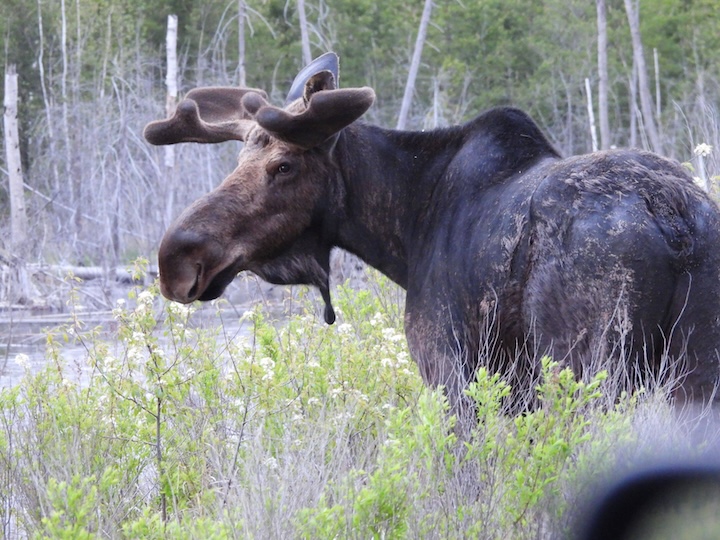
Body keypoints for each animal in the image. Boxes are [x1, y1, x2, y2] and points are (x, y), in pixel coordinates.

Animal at [144, 52, 720, 414]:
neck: (405, 233)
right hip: (695, 374)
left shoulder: (450, 372)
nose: (176, 259)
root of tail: (671, 216)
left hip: (589, 368)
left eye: (283, 166)